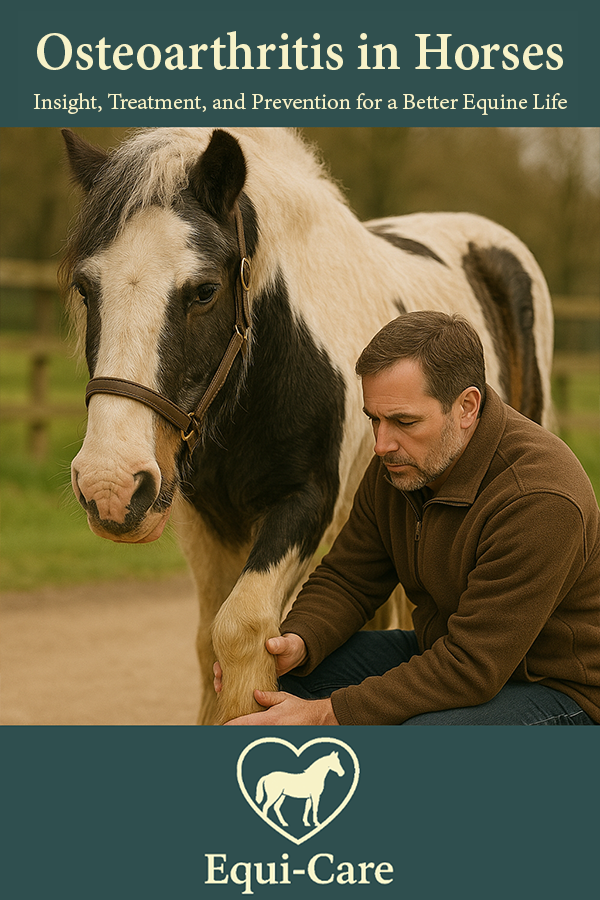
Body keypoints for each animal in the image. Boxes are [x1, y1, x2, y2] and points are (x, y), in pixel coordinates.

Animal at [60, 127, 554, 725]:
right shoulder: (204, 522)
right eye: (85, 288)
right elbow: (209, 643)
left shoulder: (307, 503)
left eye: (204, 290)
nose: (109, 486)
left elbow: (240, 630)